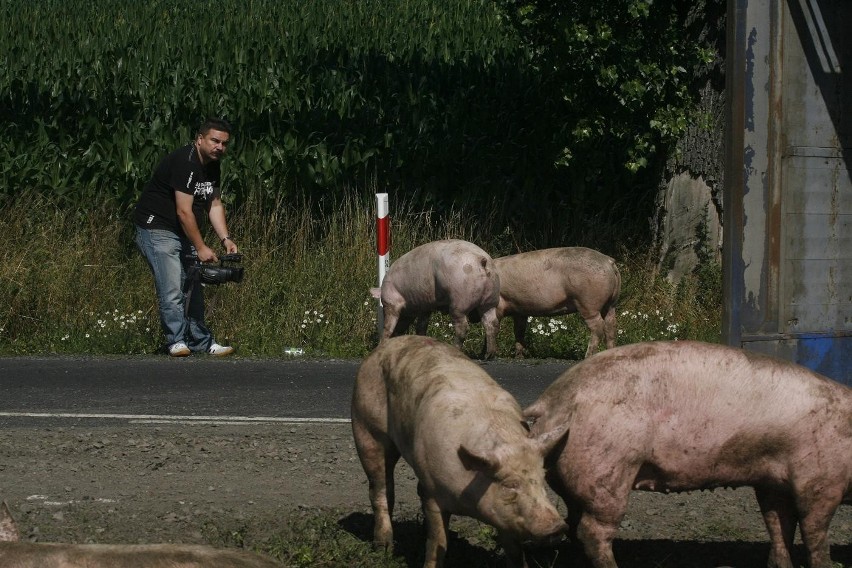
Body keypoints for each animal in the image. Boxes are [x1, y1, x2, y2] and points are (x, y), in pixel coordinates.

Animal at [352, 336, 564, 564]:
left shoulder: (505, 517)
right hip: (366, 427)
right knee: (381, 488)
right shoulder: (433, 493)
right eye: (509, 485)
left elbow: (514, 550)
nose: (558, 526)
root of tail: (386, 345)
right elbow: (437, 542)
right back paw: (383, 549)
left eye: (542, 480)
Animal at [524, 342, 852, 568]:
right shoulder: (821, 480)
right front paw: (828, 564)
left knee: (573, 523)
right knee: (593, 530)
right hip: (608, 466)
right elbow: (814, 531)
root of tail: (551, 399)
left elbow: (779, 526)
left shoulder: (773, 482)